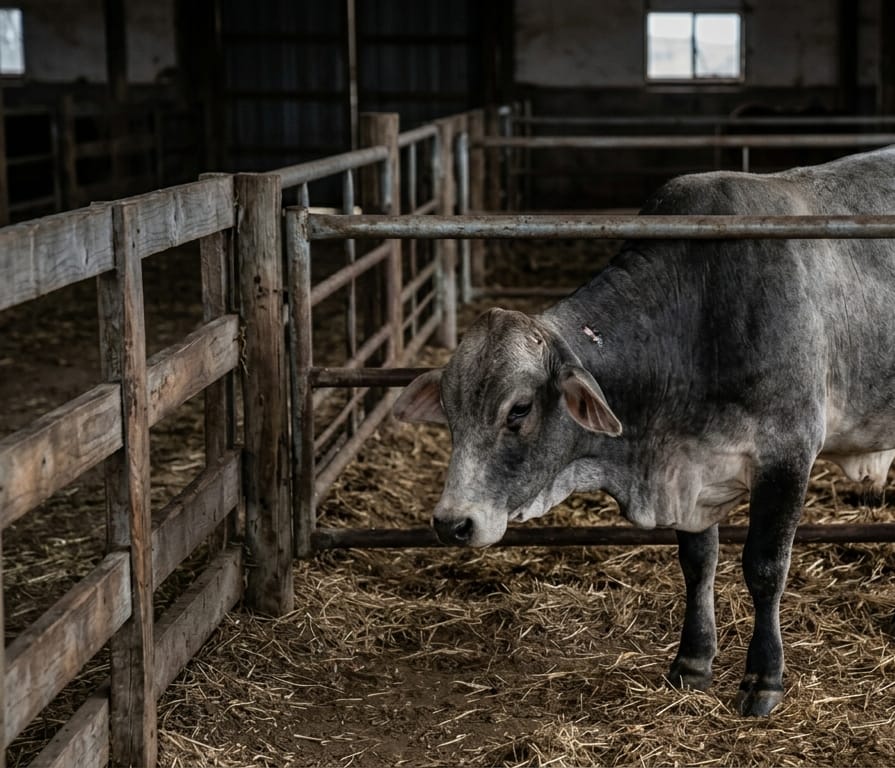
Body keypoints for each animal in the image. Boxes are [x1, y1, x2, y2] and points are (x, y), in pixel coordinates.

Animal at [392, 146, 895, 717]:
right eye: (449, 410)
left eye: (518, 410)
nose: (451, 523)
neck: (699, 313)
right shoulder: (691, 470)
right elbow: (698, 562)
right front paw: (692, 662)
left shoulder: (788, 453)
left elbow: (765, 567)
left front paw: (764, 678)